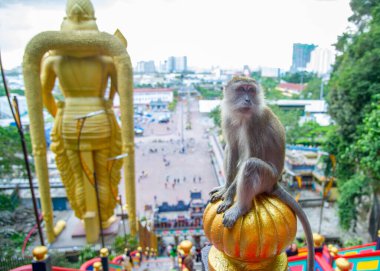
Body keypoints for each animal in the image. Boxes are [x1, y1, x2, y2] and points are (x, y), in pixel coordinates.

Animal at [208, 77, 314, 271]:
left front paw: (229, 197)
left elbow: (248, 158)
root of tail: (275, 183)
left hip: (267, 178)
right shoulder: (228, 119)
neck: (242, 117)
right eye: (241, 89)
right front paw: (225, 190)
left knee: (252, 165)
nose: (248, 100)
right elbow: (232, 149)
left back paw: (241, 207)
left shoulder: (254, 125)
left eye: (251, 90)